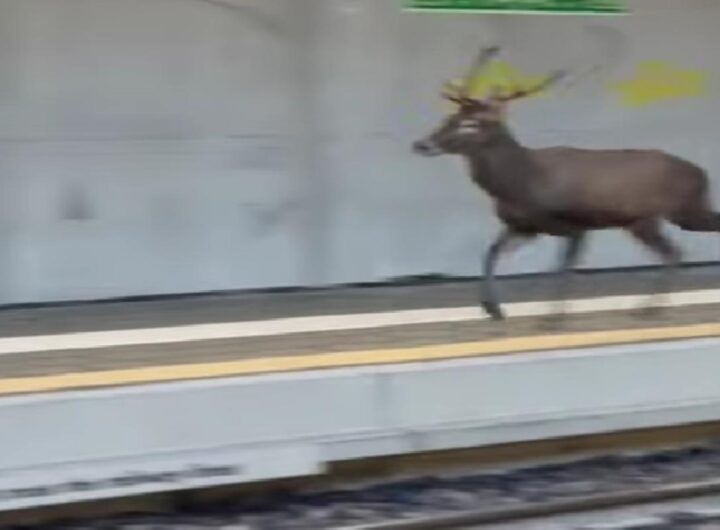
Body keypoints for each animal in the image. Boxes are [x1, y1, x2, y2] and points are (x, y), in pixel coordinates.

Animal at [412, 46, 720, 322]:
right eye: (448, 117)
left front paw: (553, 315)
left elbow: (561, 266)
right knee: (675, 250)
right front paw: (494, 309)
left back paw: (648, 308)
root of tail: (701, 172)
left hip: (676, 212)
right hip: (649, 220)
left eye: (471, 124)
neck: (522, 182)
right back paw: (647, 307)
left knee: (676, 249)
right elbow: (491, 252)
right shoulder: (522, 226)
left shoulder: (574, 224)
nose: (421, 144)